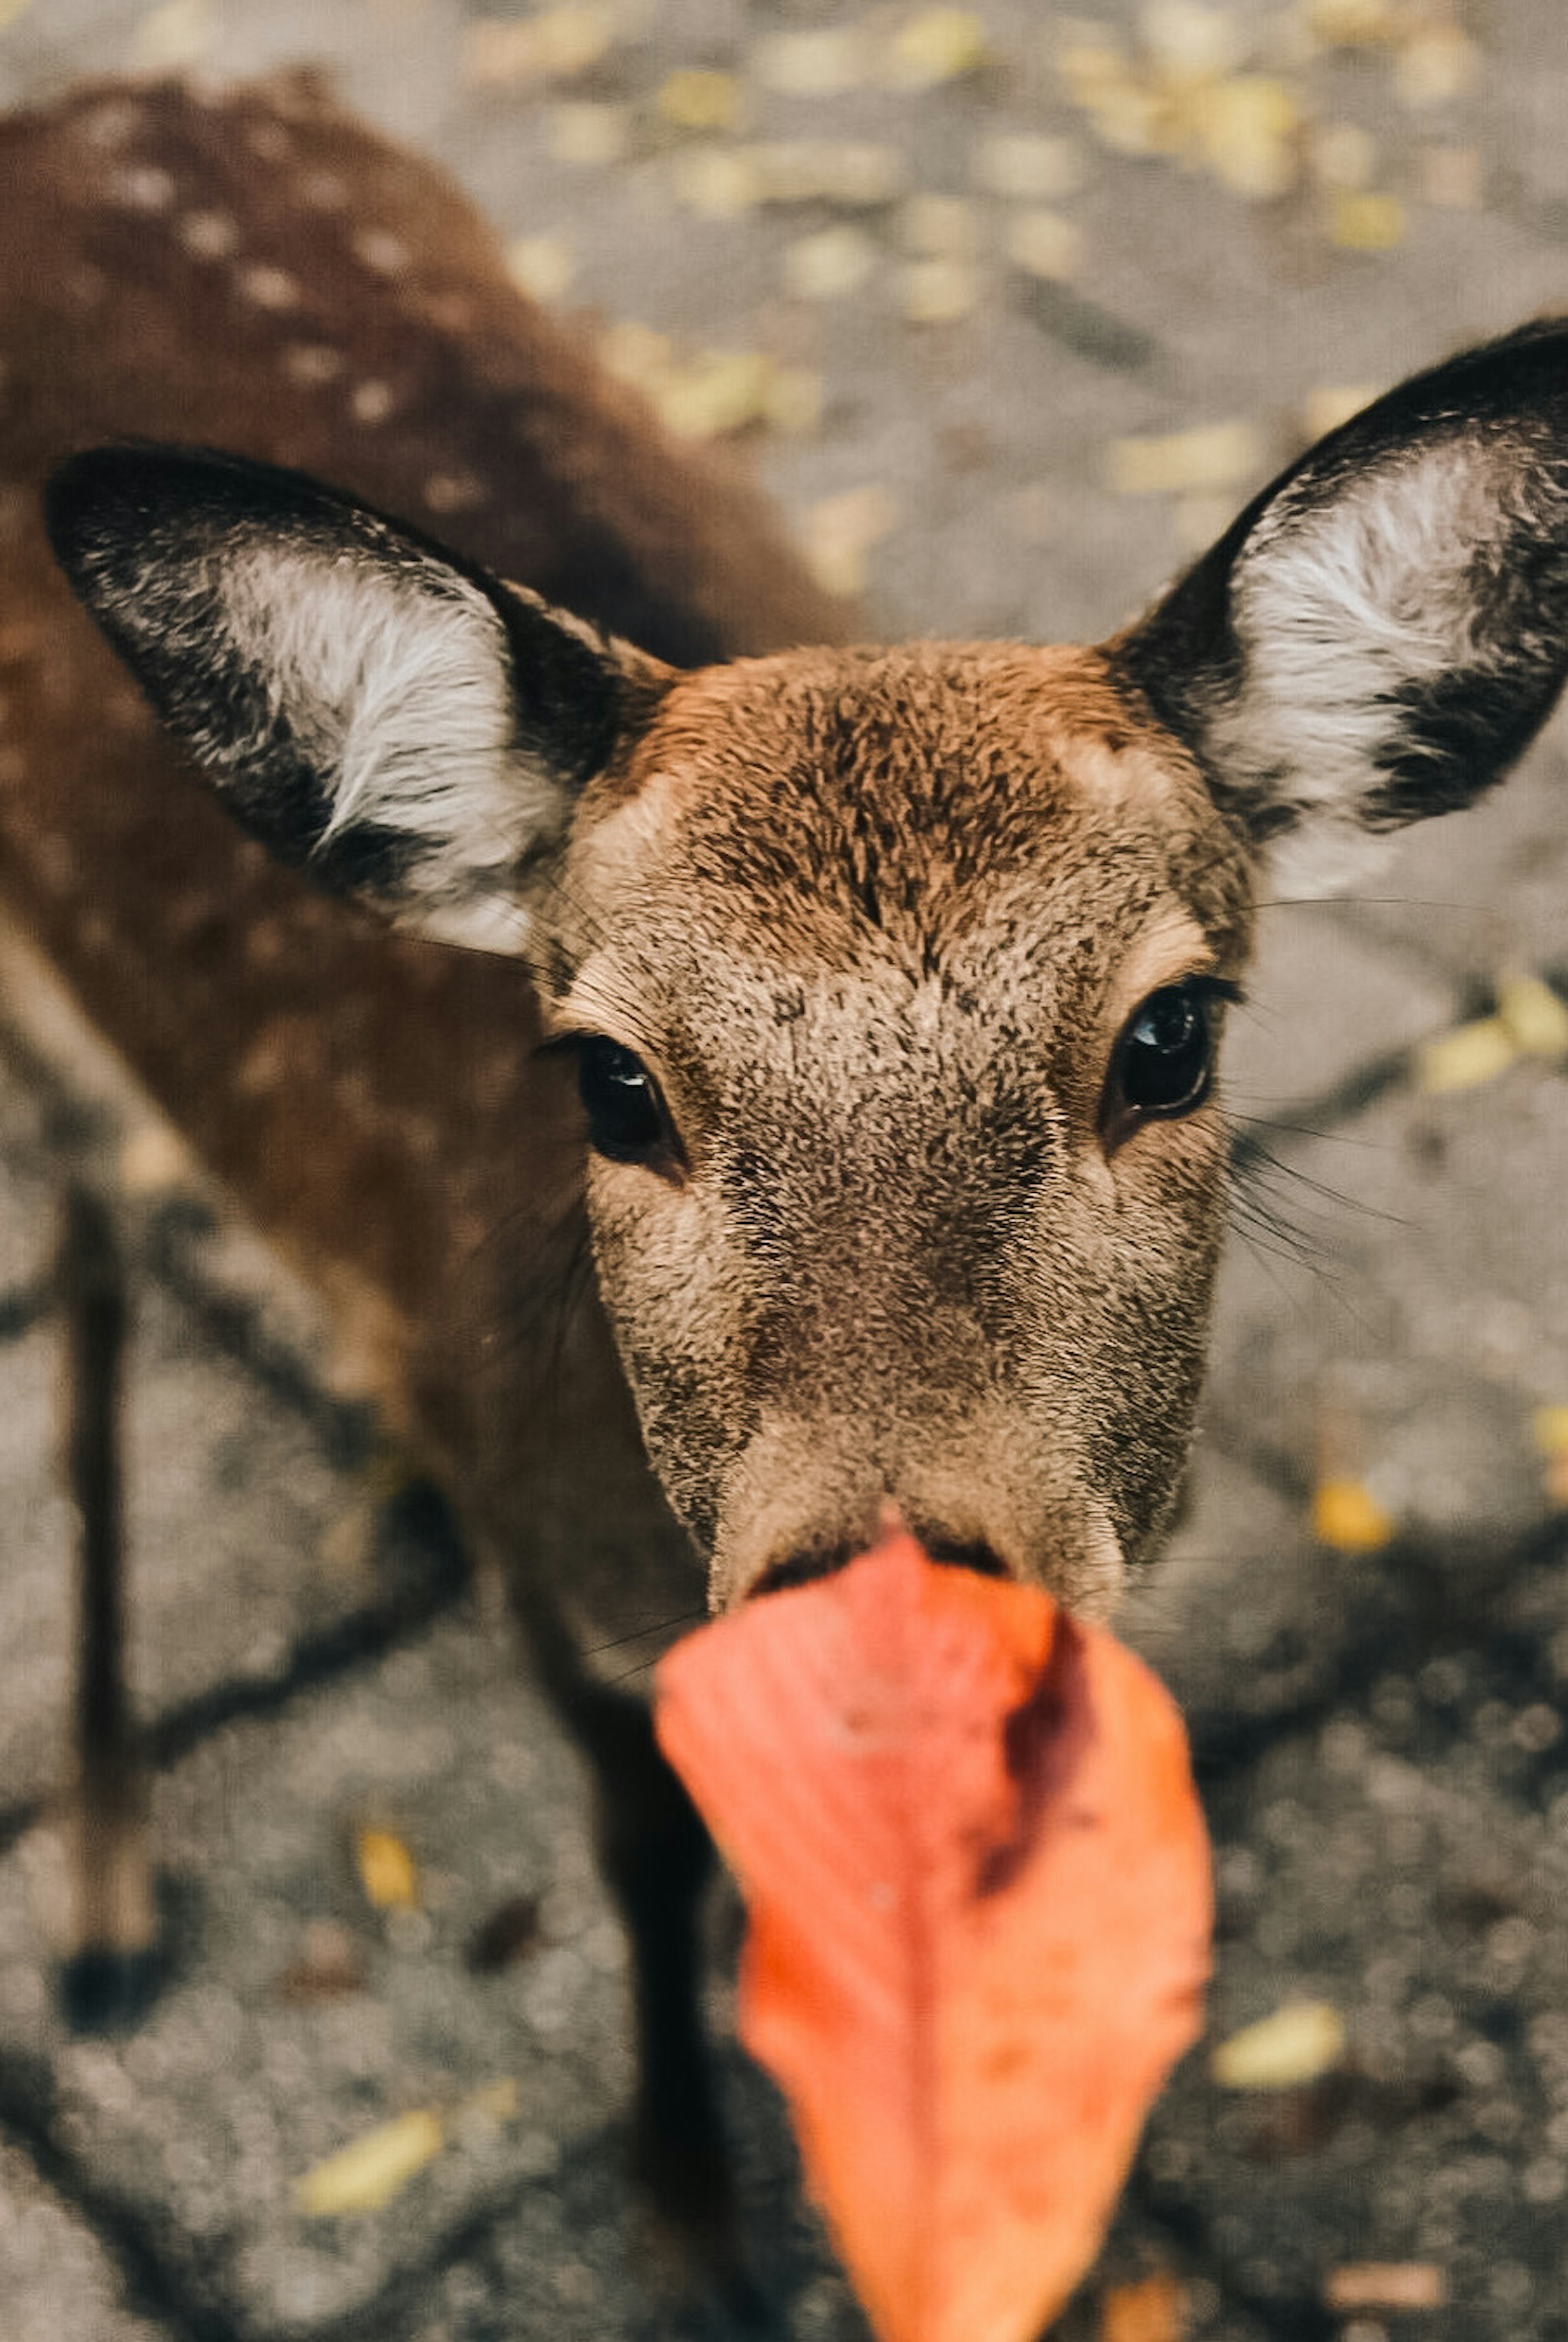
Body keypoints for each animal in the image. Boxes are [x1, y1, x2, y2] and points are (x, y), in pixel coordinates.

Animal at [3, 64, 1568, 2314]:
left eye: (1169, 1034)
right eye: (608, 1076)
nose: (895, 1619)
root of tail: (89, 97)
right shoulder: (589, 1627)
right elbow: (649, 1861)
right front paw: (688, 2236)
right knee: (92, 1303)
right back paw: (112, 1901)